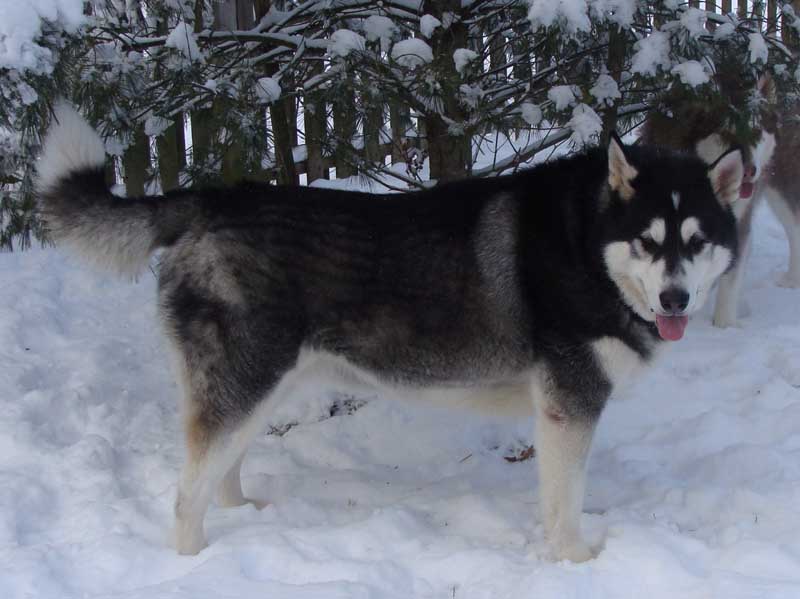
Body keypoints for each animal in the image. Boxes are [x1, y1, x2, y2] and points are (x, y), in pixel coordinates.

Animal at [34, 102, 740, 564]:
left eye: (696, 242)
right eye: (648, 242)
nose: (675, 298)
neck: (585, 244)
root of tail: (211, 198)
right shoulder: (570, 404)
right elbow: (563, 503)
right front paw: (578, 562)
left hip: (258, 389)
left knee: (220, 474)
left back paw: (243, 517)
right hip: (243, 386)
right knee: (186, 496)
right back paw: (195, 565)